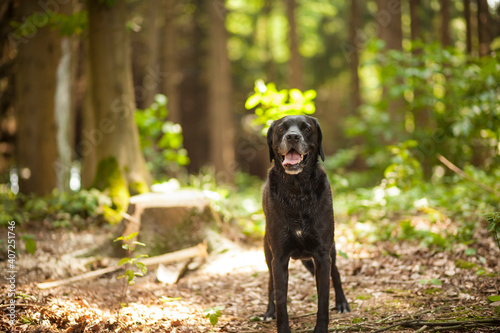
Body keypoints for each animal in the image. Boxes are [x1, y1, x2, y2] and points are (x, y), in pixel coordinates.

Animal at [264, 115, 350, 332]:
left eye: (307, 128)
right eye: (281, 129)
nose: (292, 136)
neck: (297, 190)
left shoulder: (322, 255)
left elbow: (323, 300)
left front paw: (321, 328)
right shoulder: (279, 258)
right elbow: (281, 301)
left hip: (331, 251)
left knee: (335, 274)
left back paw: (342, 303)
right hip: (268, 255)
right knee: (270, 283)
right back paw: (268, 311)